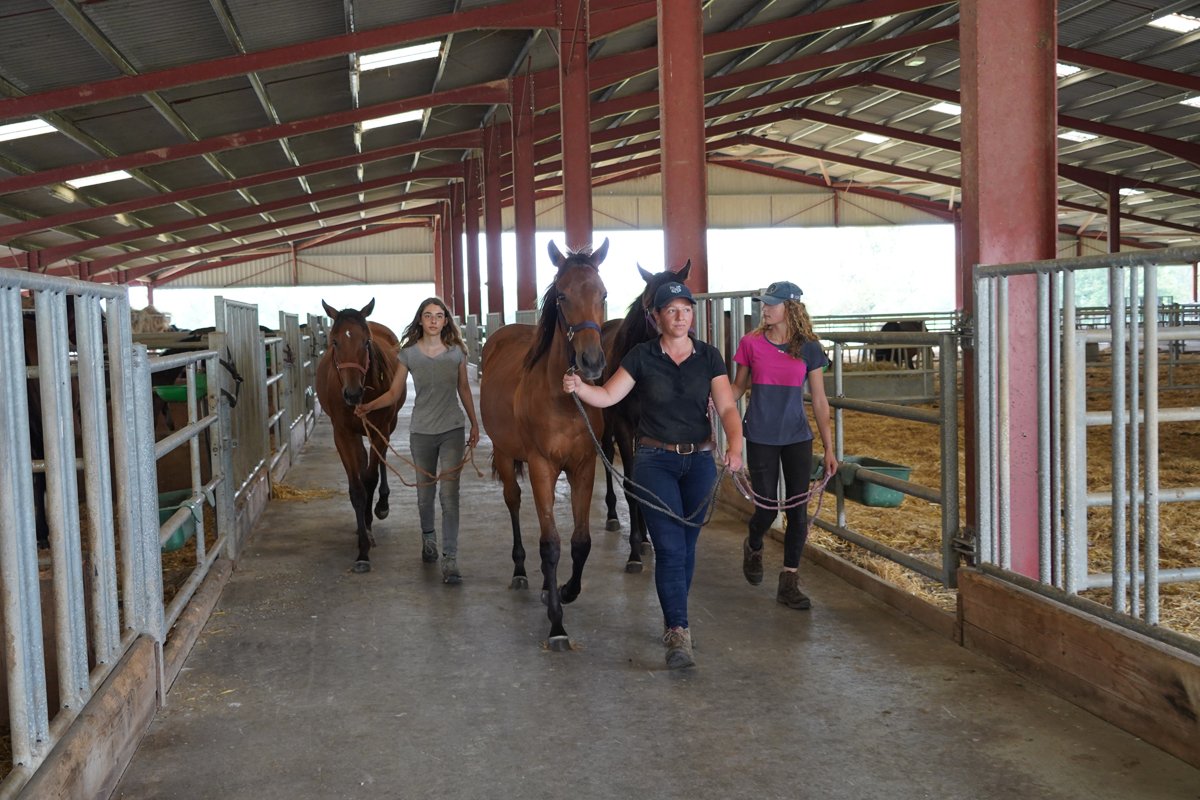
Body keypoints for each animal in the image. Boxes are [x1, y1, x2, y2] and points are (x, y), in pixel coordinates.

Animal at [314, 299, 405, 573]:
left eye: (366, 342)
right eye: (334, 342)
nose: (352, 393)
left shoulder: (380, 429)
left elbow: (371, 478)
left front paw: (369, 523)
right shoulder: (343, 434)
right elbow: (357, 488)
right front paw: (362, 548)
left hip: (388, 426)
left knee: (380, 461)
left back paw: (381, 506)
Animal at [479, 238, 609, 651]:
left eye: (603, 294)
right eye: (563, 296)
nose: (591, 361)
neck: (565, 400)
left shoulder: (584, 466)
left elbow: (580, 541)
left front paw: (565, 591)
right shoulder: (541, 466)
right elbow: (550, 544)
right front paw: (556, 623)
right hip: (507, 456)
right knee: (513, 502)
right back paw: (521, 570)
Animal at [600, 260, 691, 573]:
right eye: (650, 303)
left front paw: (645, 540)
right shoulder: (624, 426)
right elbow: (630, 485)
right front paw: (634, 553)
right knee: (606, 456)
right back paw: (613, 517)